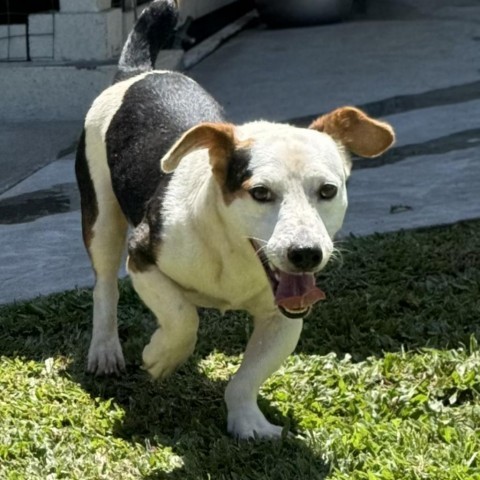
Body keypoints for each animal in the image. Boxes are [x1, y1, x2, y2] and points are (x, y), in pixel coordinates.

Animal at [76, 0, 394, 438]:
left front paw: (248, 422)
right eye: (260, 193)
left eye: (328, 191)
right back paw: (105, 350)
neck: (231, 250)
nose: (305, 253)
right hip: (101, 215)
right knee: (105, 284)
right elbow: (183, 318)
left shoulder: (285, 317)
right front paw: (161, 356)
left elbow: (247, 376)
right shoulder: (142, 258)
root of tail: (136, 72)